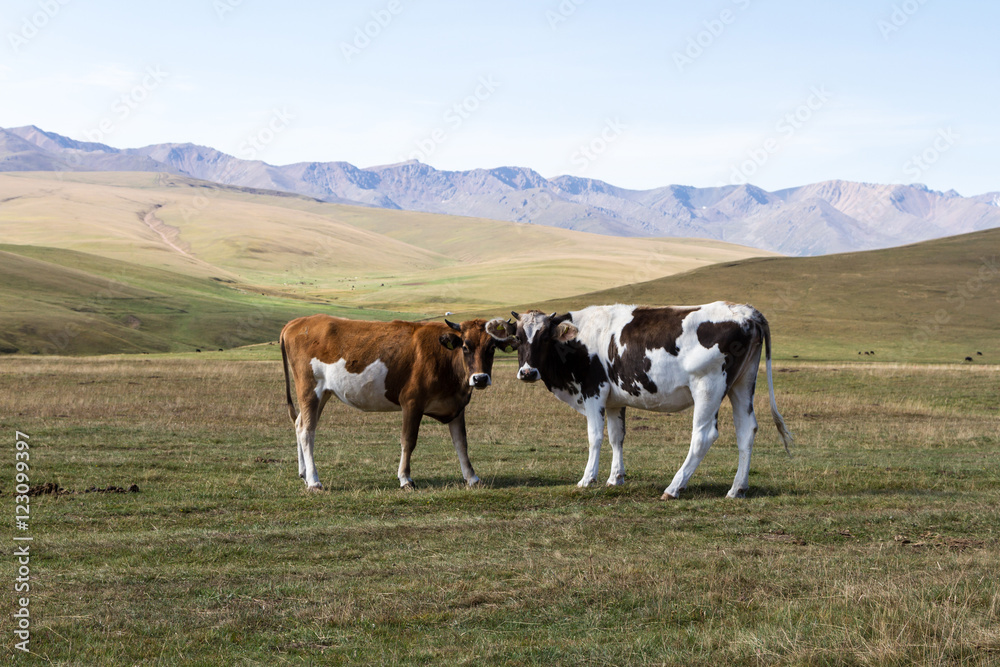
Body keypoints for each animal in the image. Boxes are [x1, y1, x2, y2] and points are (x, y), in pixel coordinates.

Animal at [278, 316, 504, 494]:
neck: (445, 359)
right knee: (307, 431)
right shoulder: (412, 402)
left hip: (323, 393)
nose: (480, 378)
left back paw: (304, 473)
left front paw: (472, 478)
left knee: (299, 424)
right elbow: (408, 441)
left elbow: (461, 443)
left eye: (492, 348)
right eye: (465, 346)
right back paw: (314, 481)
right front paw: (405, 479)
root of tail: (297, 322)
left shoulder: (456, 406)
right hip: (310, 389)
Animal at [486, 302, 796, 500]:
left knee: (703, 435)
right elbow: (617, 437)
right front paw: (615, 478)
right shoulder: (614, 400)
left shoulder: (593, 391)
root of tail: (744, 311)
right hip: (743, 384)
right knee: (747, 431)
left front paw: (587, 479)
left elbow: (595, 437)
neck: (577, 341)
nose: (527, 372)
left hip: (708, 386)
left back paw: (674, 487)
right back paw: (737, 489)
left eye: (544, 338)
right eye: (518, 338)